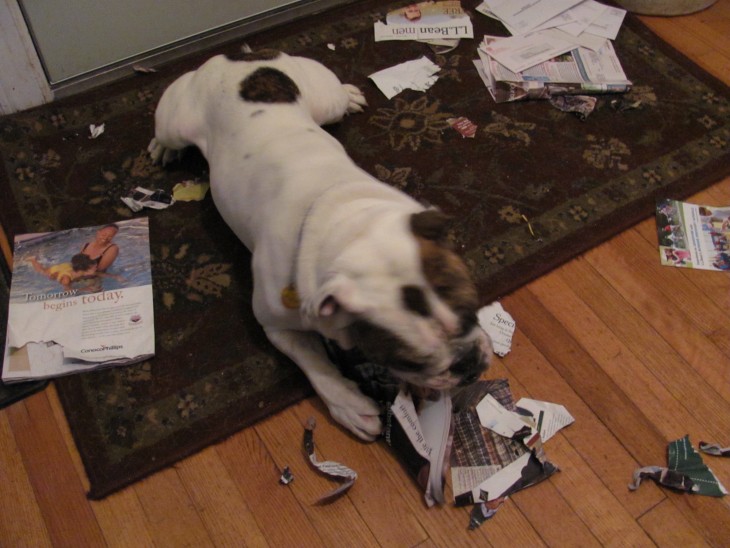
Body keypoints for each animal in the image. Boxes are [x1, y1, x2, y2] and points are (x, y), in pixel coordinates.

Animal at [147, 49, 490, 438]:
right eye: (410, 361)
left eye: (472, 311)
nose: (469, 364)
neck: (346, 227)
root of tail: (234, 57)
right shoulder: (277, 326)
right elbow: (313, 361)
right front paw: (348, 402)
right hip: (175, 122)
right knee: (168, 132)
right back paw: (162, 147)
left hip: (324, 99)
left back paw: (349, 94)